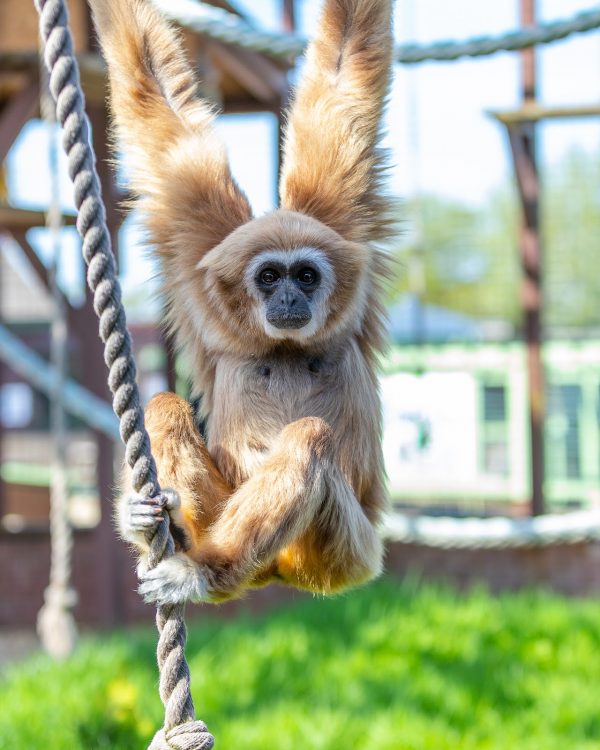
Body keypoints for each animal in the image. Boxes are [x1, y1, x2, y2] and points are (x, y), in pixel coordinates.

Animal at [89, 0, 397, 605]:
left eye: (306, 276)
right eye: (270, 276)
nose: (288, 296)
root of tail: (274, 570)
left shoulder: (340, 223)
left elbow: (345, 67)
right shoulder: (201, 252)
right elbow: (154, 97)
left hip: (345, 552)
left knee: (310, 437)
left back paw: (203, 569)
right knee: (165, 405)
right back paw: (168, 529)